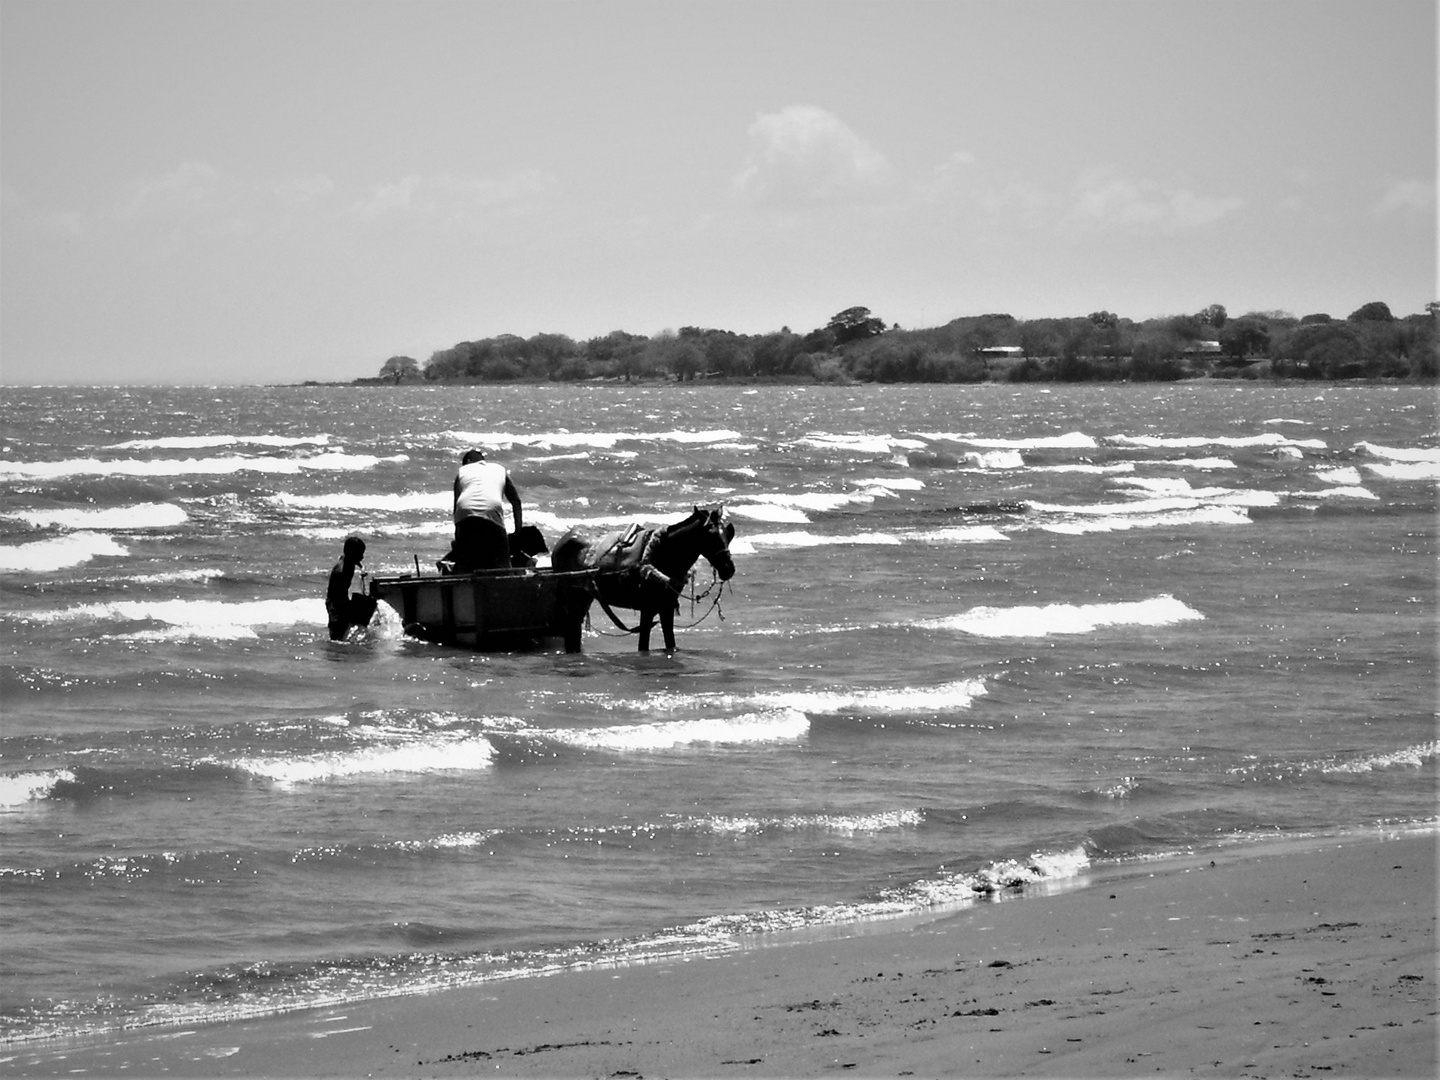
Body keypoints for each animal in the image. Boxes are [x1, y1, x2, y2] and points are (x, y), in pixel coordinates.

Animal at [547, 506, 737, 650]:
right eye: (711, 536)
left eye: (728, 535)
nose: (728, 569)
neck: (663, 554)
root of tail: (563, 540)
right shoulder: (648, 608)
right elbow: (643, 645)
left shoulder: (666, 607)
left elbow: (670, 643)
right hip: (570, 596)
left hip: (584, 596)